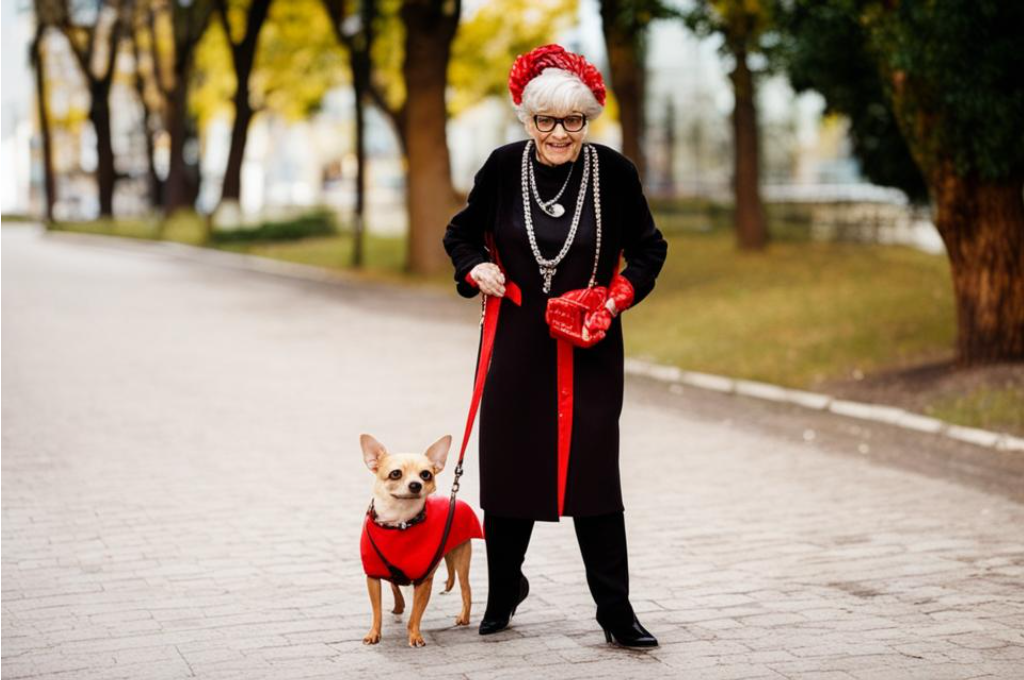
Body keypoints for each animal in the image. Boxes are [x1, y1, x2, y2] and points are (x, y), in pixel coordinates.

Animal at [360, 436, 483, 647]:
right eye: (395, 473)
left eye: (426, 474)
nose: (415, 484)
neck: (400, 523)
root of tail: (455, 499)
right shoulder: (373, 577)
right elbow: (377, 612)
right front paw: (374, 633)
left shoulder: (424, 580)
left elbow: (415, 614)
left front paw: (415, 635)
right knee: (394, 584)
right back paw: (398, 606)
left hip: (461, 559)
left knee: (466, 590)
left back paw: (464, 618)